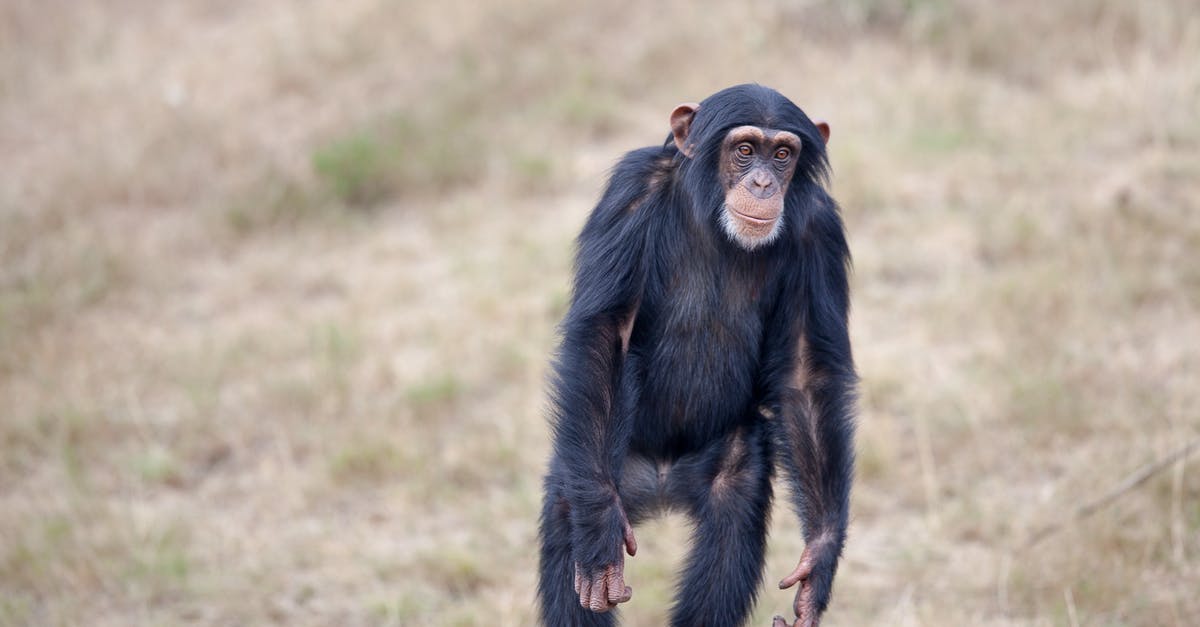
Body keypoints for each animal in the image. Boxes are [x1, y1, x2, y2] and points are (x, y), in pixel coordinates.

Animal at [540, 84, 859, 624]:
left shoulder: (820, 229)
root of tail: (661, 486)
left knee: (731, 530)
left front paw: (819, 559)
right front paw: (599, 531)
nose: (762, 183)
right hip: (603, 462)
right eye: (745, 149)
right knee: (569, 509)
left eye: (782, 154)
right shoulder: (631, 193)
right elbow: (608, 331)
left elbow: (805, 370)